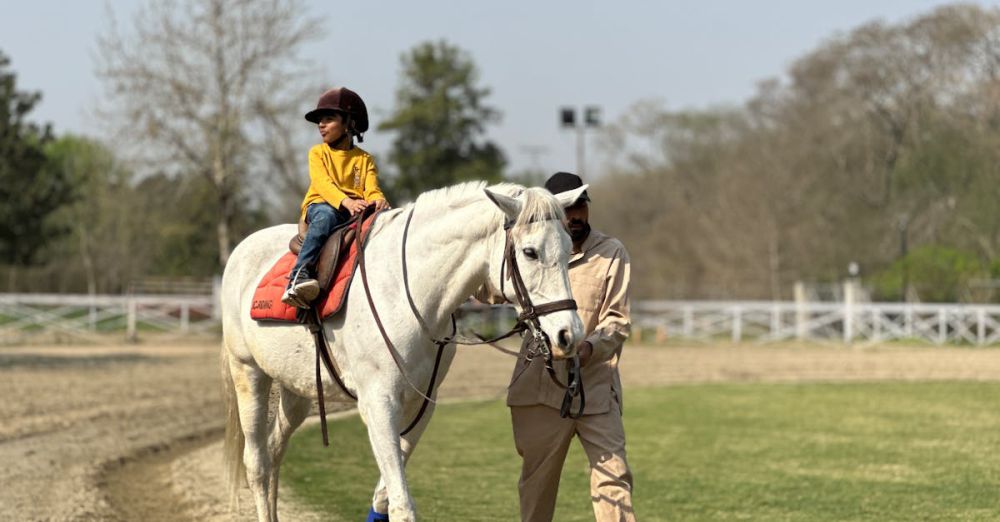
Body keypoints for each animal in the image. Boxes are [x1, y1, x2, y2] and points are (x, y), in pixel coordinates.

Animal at [215, 181, 584, 516]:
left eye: (569, 248)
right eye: (530, 252)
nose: (570, 334)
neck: (408, 293)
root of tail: (240, 252)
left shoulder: (420, 405)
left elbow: (384, 499)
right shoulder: (378, 404)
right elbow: (402, 505)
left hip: (296, 392)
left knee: (275, 452)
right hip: (249, 374)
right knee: (258, 465)